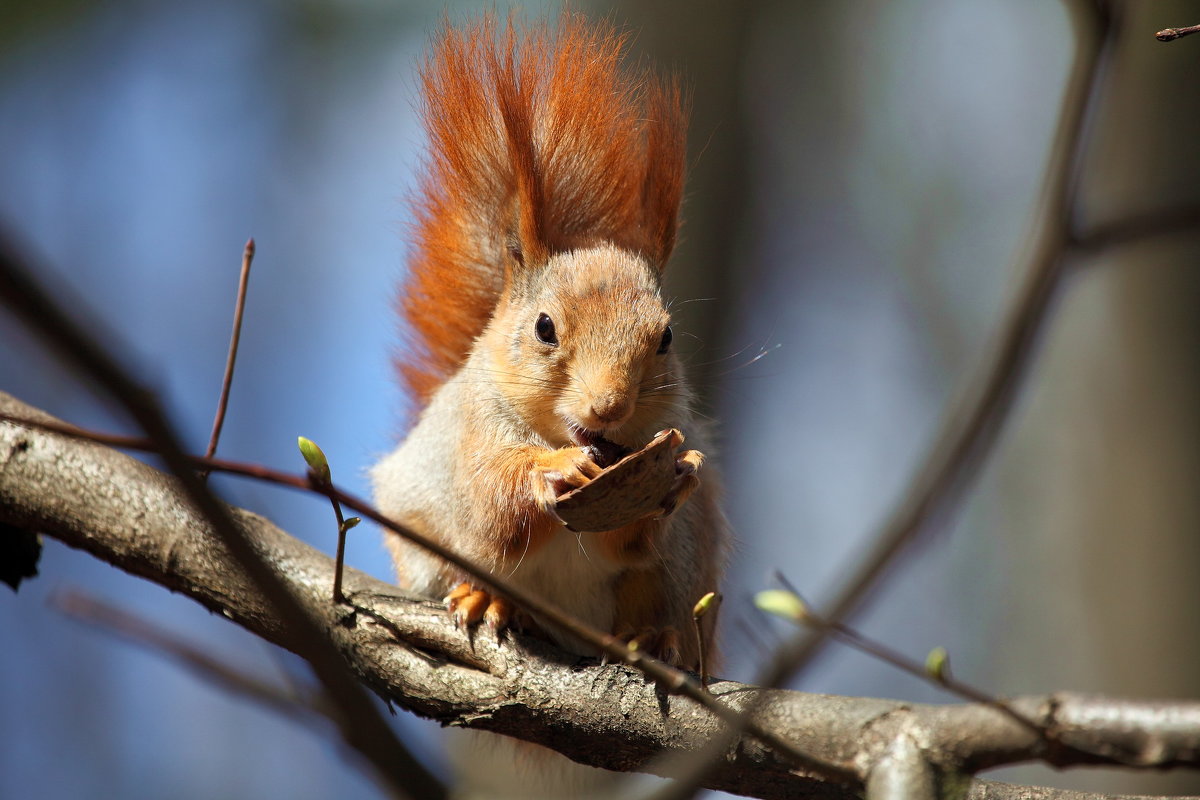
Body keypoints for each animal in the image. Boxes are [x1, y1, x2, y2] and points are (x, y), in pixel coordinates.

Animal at [369, 12, 724, 690]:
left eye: (665, 338)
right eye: (544, 328)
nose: (609, 407)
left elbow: (632, 538)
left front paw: (681, 474)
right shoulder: (473, 433)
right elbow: (491, 504)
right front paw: (553, 470)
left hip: (686, 568)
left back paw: (653, 637)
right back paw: (488, 599)